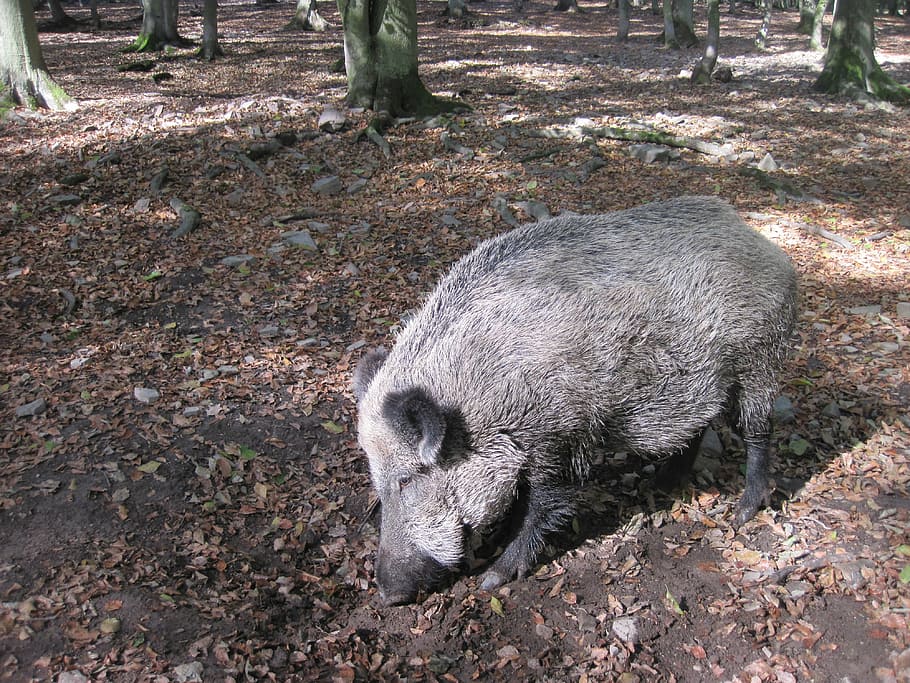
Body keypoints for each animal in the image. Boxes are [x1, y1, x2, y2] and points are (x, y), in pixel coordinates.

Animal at [352, 196, 798, 605]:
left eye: (407, 480)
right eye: (377, 482)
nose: (385, 594)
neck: (484, 397)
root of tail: (763, 243)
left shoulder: (565, 437)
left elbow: (540, 506)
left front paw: (493, 579)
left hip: (759, 356)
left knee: (758, 429)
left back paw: (743, 512)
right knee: (697, 426)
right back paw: (662, 483)